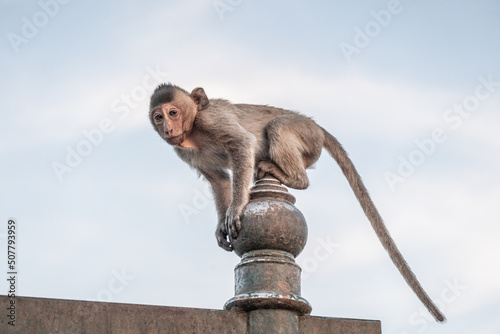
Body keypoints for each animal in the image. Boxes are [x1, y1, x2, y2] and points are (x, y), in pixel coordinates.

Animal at [147, 82, 446, 322]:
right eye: (158, 116)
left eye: (173, 112)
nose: (167, 127)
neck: (194, 132)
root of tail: (317, 127)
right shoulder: (184, 151)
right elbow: (219, 179)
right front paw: (221, 225)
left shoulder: (212, 120)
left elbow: (243, 144)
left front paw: (236, 208)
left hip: (306, 136)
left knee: (278, 126)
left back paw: (293, 177)